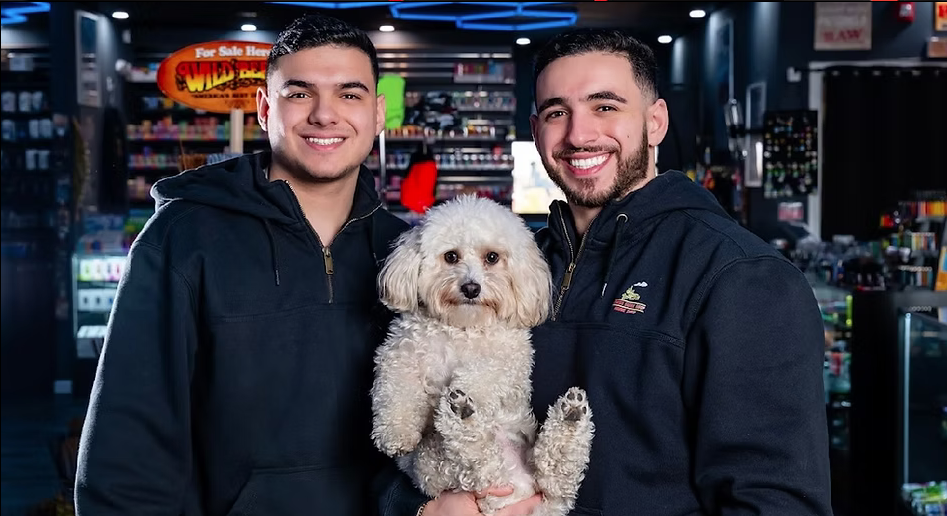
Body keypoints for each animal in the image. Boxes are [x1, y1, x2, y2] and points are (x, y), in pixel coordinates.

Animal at [371, 195, 594, 516]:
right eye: (451, 256)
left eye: (492, 257)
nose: (471, 288)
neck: (462, 328)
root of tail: (522, 486)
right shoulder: (400, 353)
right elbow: (395, 390)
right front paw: (396, 433)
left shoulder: (508, 360)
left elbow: (483, 372)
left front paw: (465, 390)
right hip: (434, 467)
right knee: (481, 464)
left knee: (548, 474)